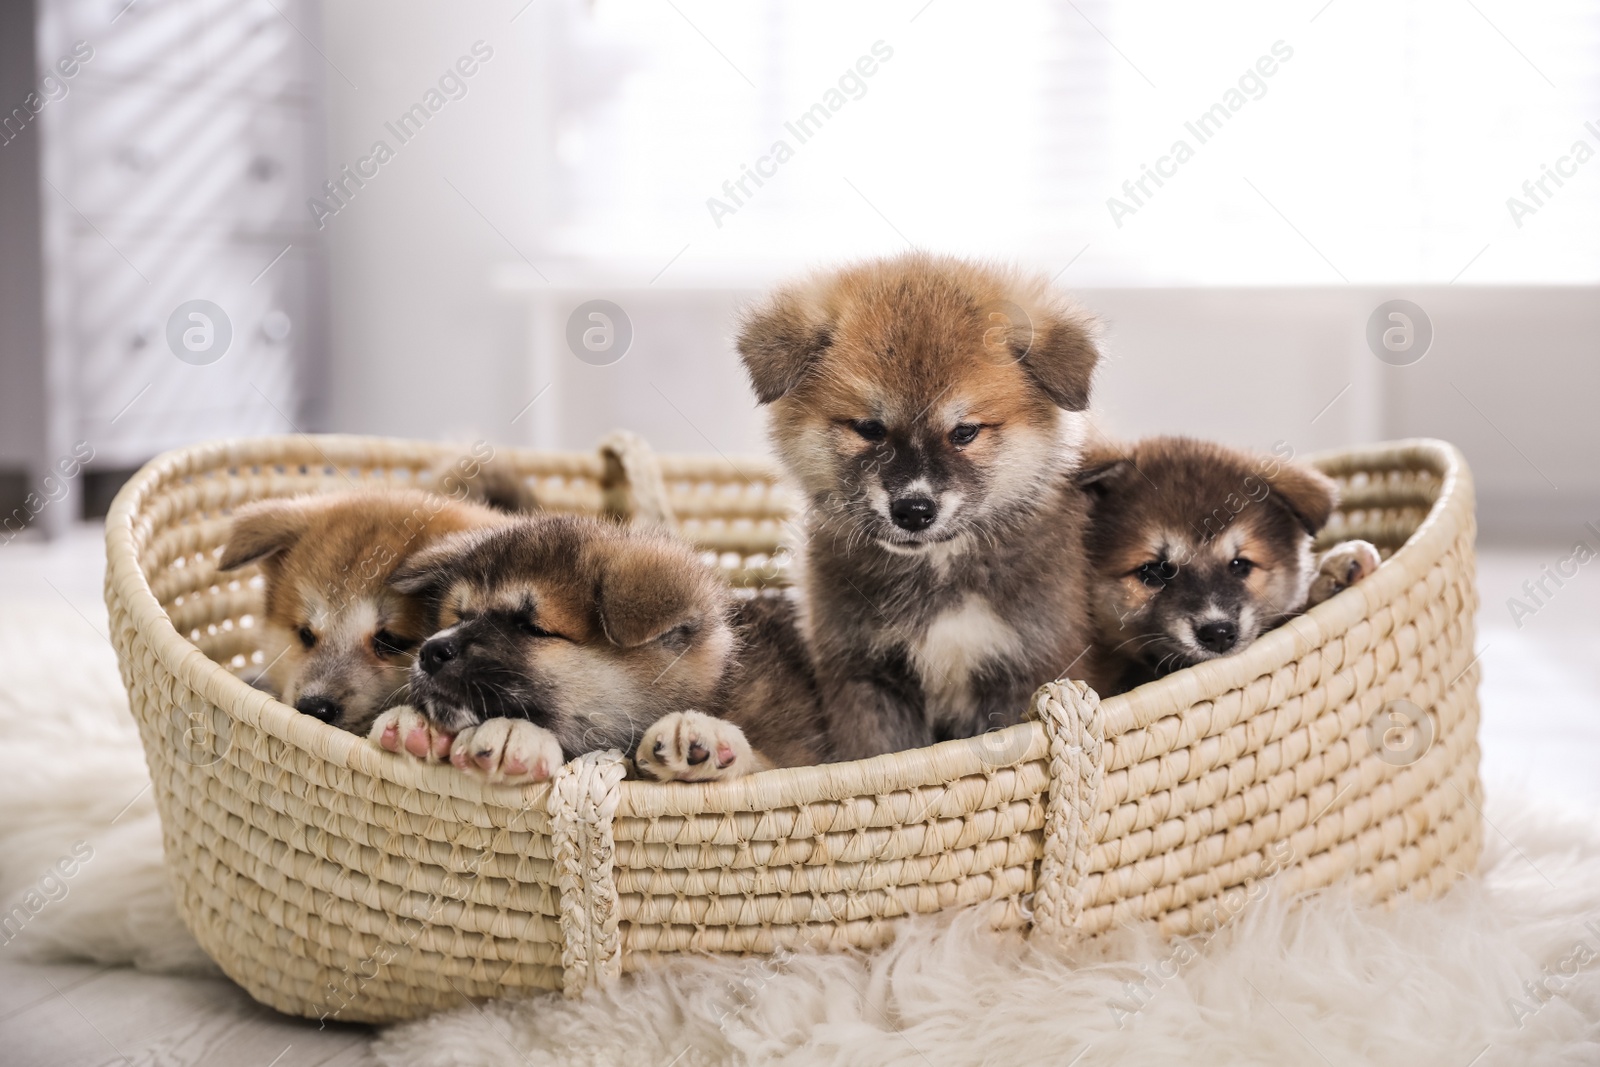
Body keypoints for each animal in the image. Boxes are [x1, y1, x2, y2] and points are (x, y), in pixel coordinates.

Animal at [369, 518, 825, 783]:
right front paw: (416, 724)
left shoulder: (796, 759)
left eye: (531, 628)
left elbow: (767, 763)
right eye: (459, 616)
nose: (431, 652)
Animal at [736, 254, 1113, 764]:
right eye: (869, 428)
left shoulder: (1027, 666)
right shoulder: (865, 674)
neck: (936, 574)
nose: (914, 509)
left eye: (965, 432)